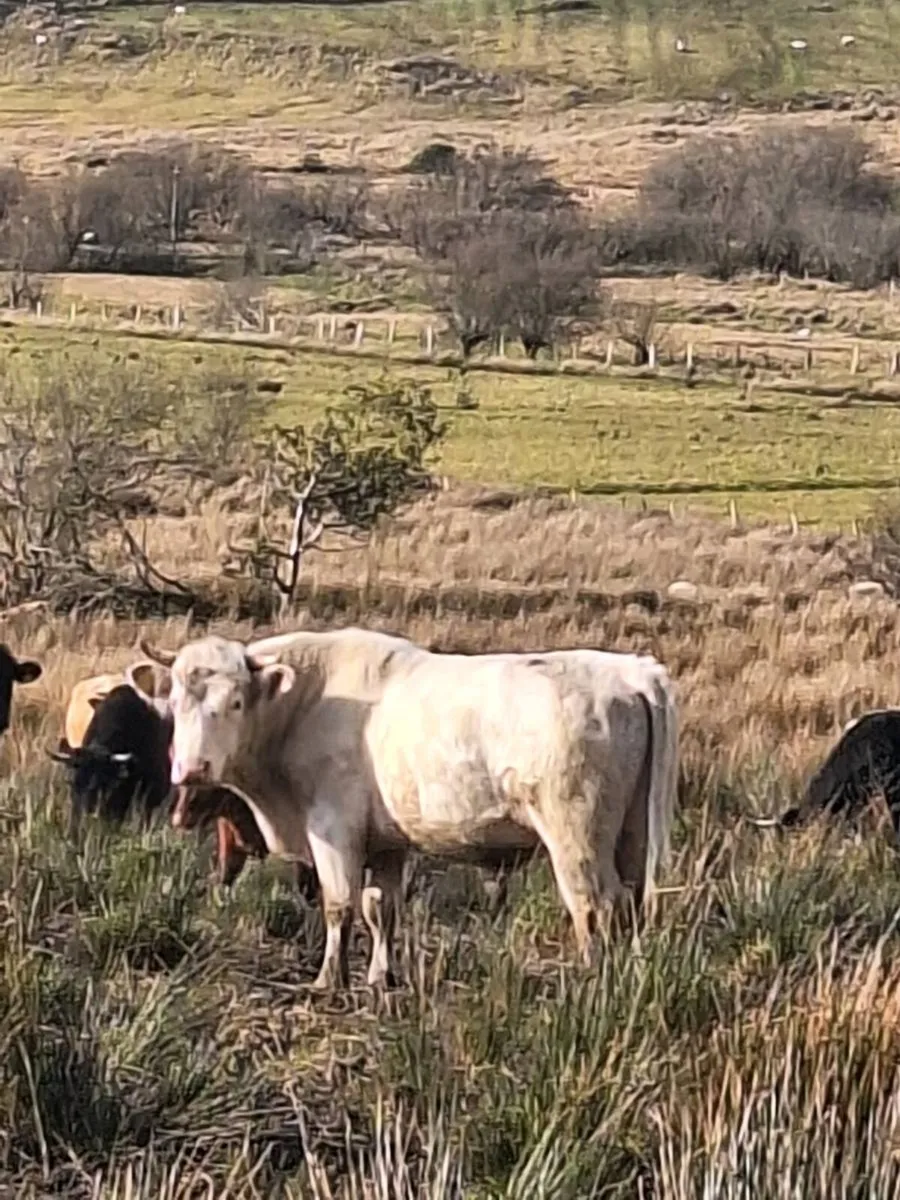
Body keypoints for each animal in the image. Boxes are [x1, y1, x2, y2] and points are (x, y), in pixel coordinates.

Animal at [128, 627, 680, 993]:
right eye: (175, 701)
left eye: (236, 702)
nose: (192, 768)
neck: (308, 702)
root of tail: (629, 670)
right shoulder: (388, 843)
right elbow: (382, 909)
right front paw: (380, 976)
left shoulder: (333, 829)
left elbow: (339, 904)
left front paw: (328, 981)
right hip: (630, 834)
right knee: (631, 905)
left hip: (576, 836)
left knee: (596, 907)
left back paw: (592, 986)